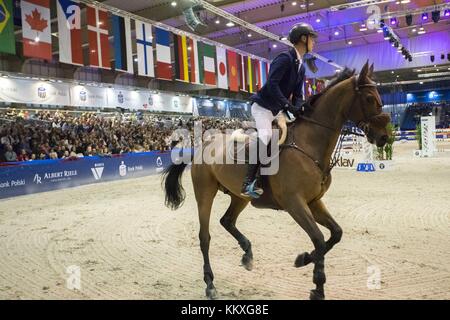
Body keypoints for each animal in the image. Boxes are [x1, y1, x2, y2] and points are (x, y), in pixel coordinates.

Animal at [162, 62, 390, 300]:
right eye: (369, 98)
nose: (384, 137)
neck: (309, 145)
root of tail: (202, 145)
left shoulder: (313, 201)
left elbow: (335, 234)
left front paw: (303, 260)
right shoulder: (294, 203)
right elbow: (318, 239)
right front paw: (317, 286)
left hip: (240, 196)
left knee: (227, 221)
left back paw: (247, 254)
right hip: (205, 192)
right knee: (205, 237)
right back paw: (210, 284)